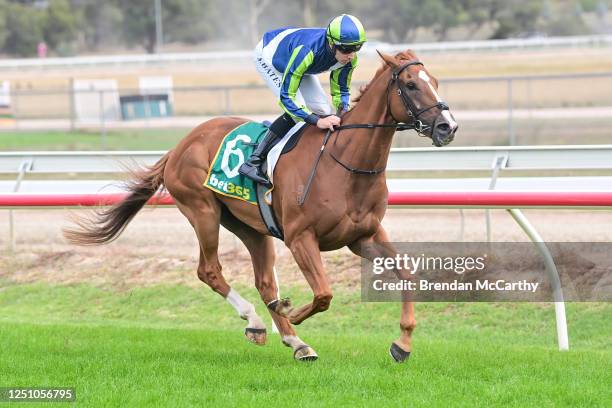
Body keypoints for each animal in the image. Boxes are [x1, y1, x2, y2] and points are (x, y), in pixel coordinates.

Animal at [68, 50, 460, 360]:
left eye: (436, 81)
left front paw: (402, 343)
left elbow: (407, 274)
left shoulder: (363, 235)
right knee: (210, 271)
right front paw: (293, 312)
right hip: (202, 211)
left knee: (264, 282)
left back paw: (295, 341)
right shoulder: (302, 238)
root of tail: (181, 144)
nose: (447, 126)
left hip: (251, 227)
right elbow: (324, 294)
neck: (345, 164)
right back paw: (260, 322)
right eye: (410, 84)